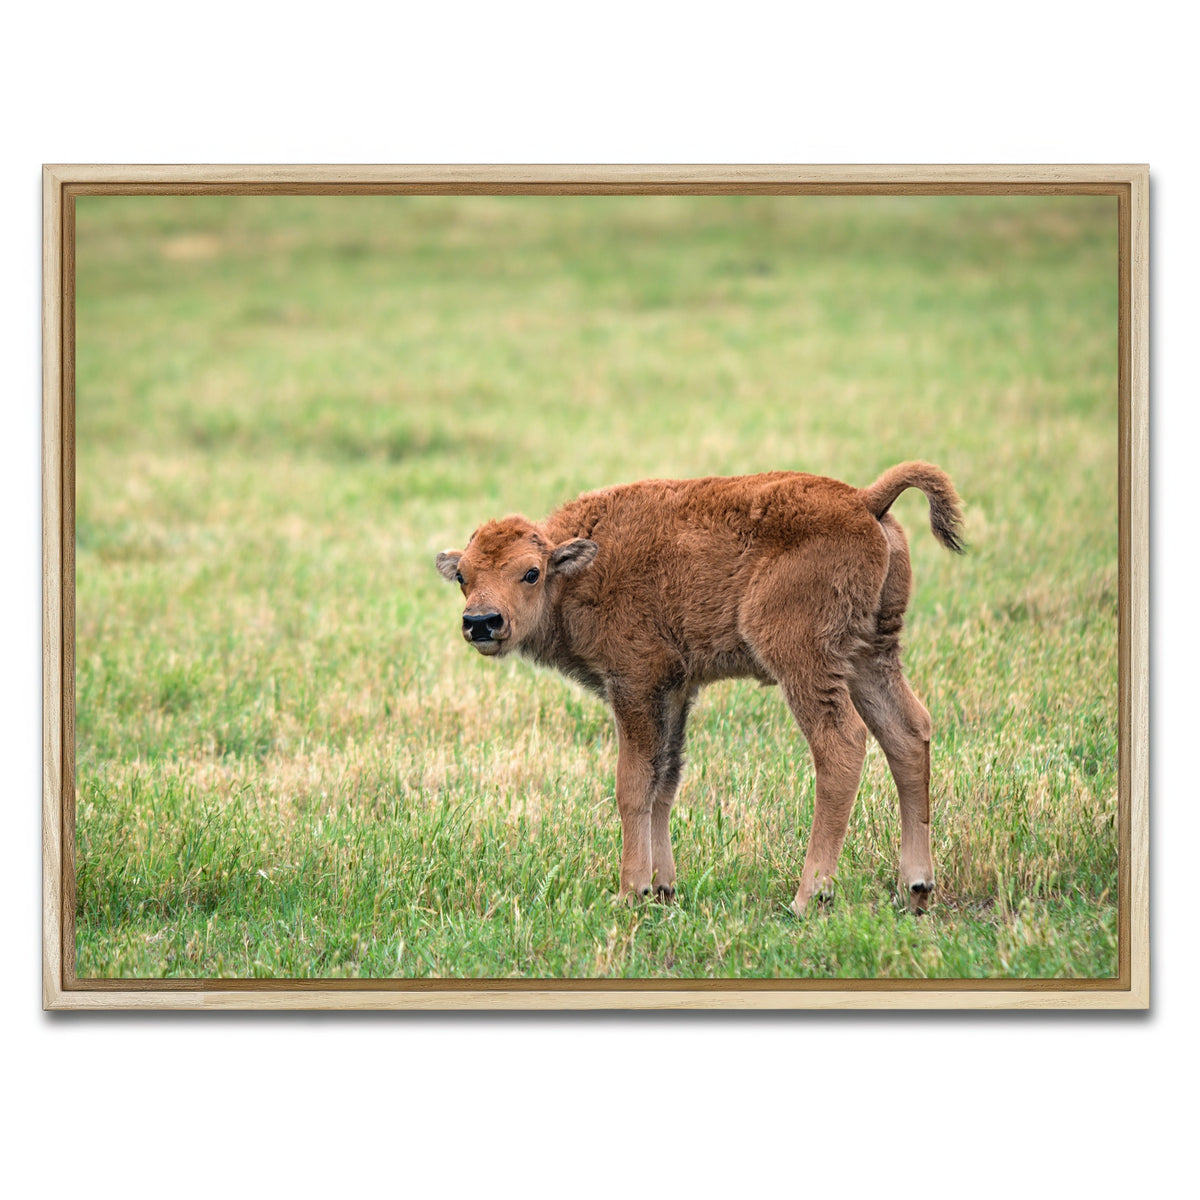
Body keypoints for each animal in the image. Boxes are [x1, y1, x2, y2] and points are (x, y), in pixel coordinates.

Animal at [436, 461, 964, 914]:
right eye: (463, 576)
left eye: (530, 572)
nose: (481, 622)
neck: (577, 566)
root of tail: (864, 500)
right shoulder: (674, 690)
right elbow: (664, 781)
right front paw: (663, 889)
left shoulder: (635, 683)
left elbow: (633, 784)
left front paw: (630, 891)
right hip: (870, 655)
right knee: (907, 733)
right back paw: (916, 888)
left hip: (806, 660)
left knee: (841, 745)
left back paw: (807, 897)